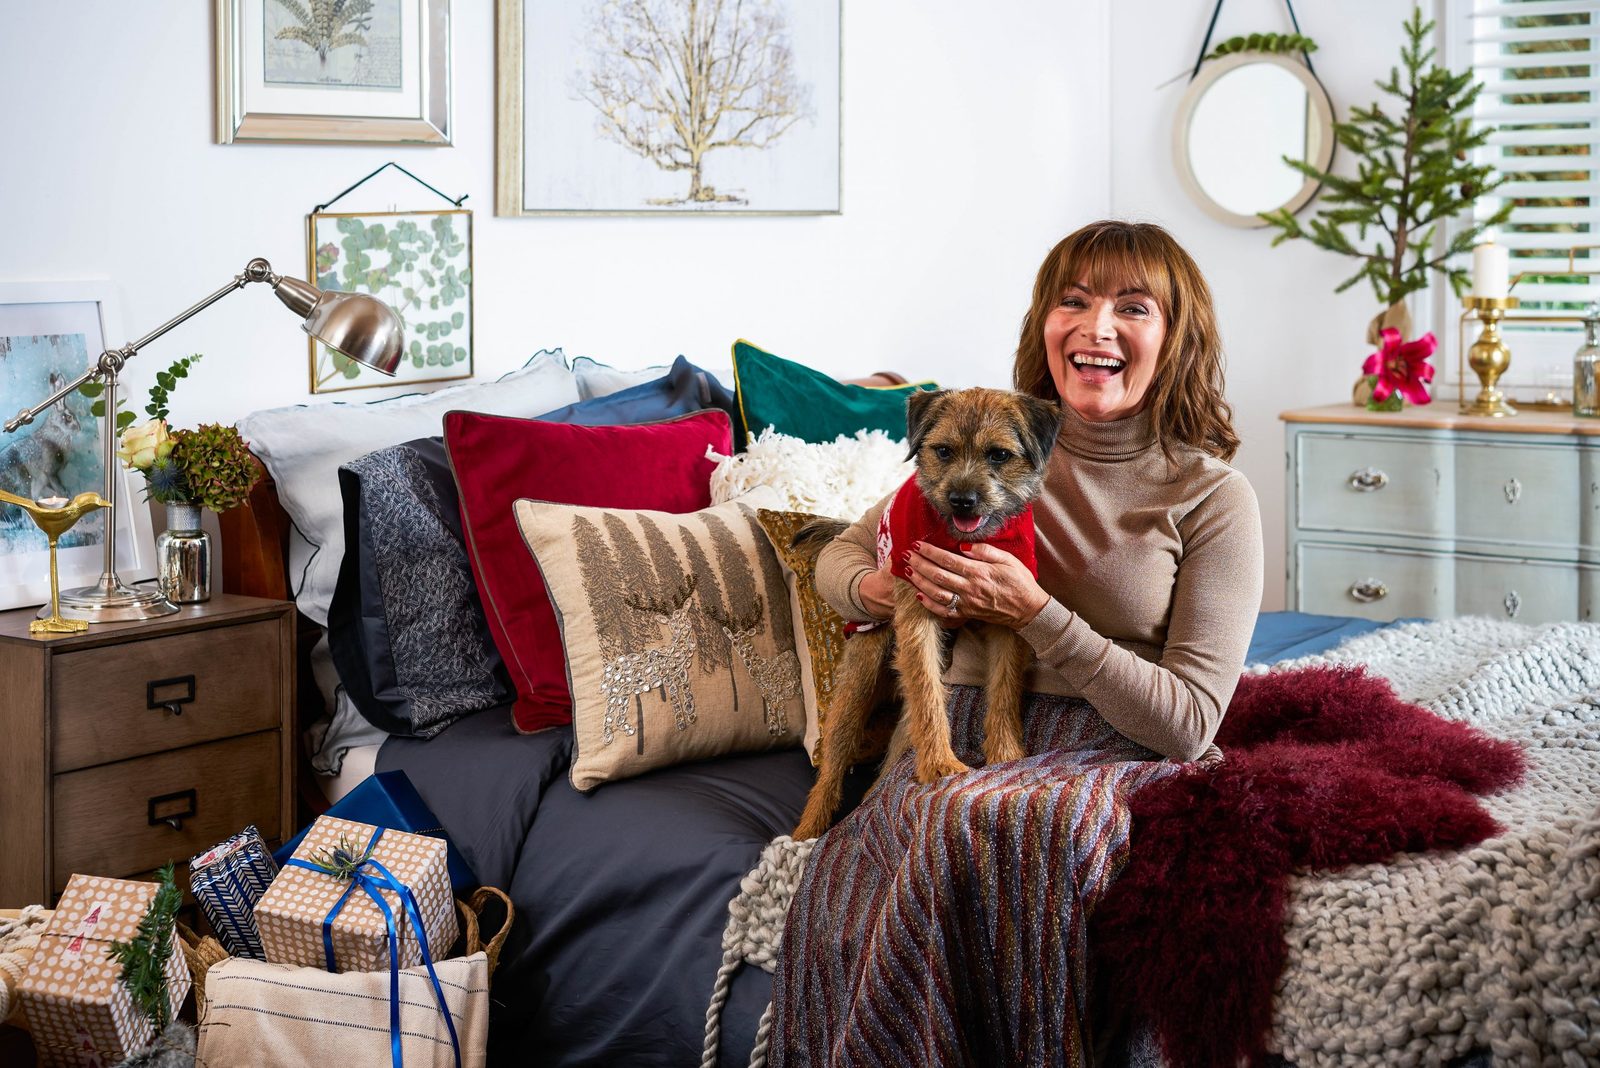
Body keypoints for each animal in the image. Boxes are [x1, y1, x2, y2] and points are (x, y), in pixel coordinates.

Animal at [790, 385, 1062, 844]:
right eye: (944, 450)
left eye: (999, 455)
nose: (962, 500)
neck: (962, 544)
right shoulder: (917, 617)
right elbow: (929, 694)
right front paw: (940, 765)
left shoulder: (1008, 618)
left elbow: (1004, 689)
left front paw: (1005, 754)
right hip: (861, 675)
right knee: (833, 763)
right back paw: (804, 832)